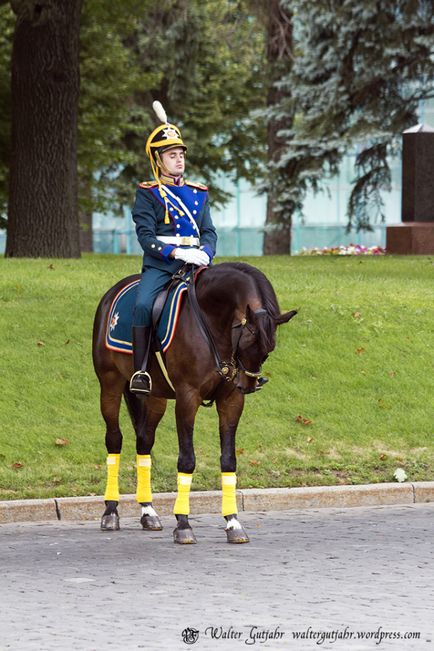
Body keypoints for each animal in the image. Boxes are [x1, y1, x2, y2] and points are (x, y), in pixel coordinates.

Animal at [91, 262, 294, 544]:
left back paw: (148, 510)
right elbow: (187, 460)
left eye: (268, 350)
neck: (212, 322)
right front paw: (183, 523)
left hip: (156, 398)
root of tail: (112, 292)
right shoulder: (187, 398)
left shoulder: (231, 400)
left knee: (144, 442)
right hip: (110, 384)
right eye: (247, 341)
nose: (247, 384)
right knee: (114, 440)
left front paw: (233, 522)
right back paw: (110, 510)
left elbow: (228, 460)